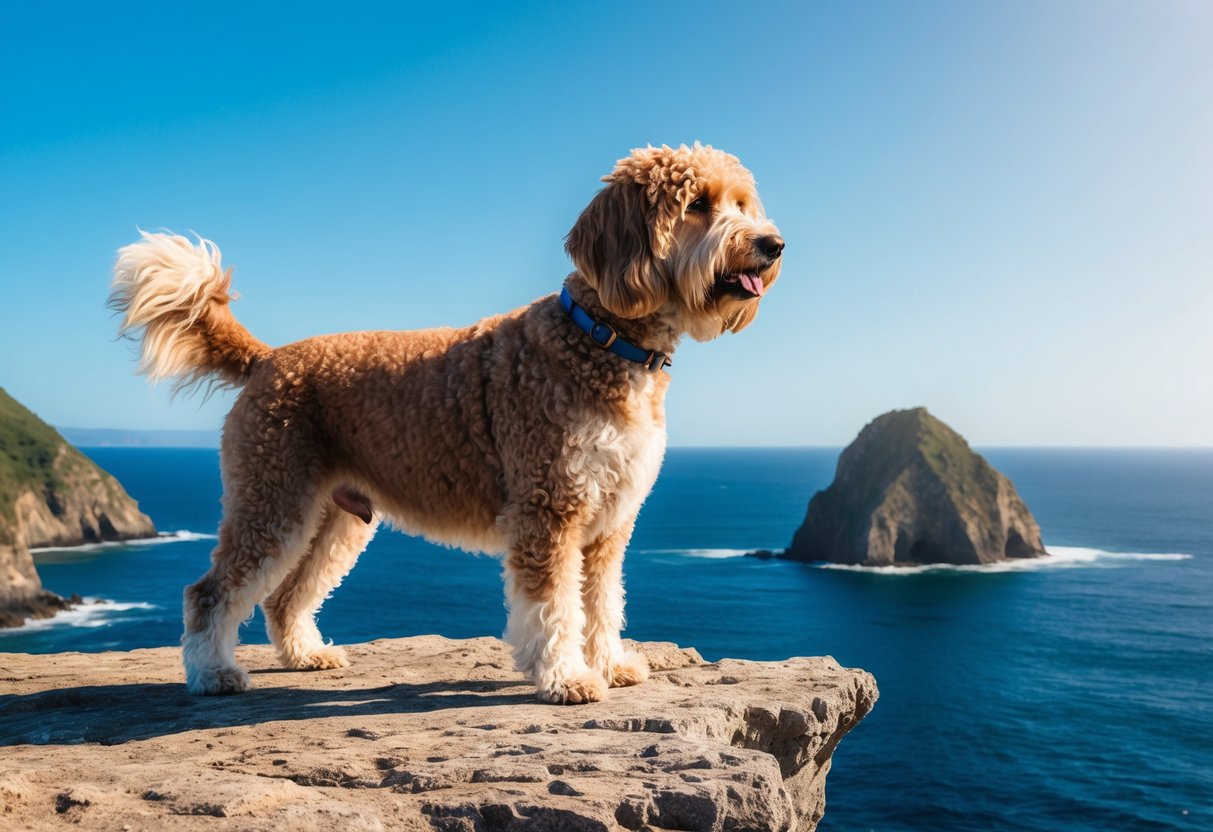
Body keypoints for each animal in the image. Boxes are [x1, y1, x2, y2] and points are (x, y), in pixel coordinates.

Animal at [109, 143, 781, 703]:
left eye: (742, 204)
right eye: (698, 204)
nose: (772, 244)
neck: (601, 338)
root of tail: (267, 358)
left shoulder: (609, 524)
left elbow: (601, 602)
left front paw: (610, 663)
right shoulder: (549, 509)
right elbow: (554, 607)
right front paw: (565, 678)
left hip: (333, 518)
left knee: (285, 594)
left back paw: (304, 655)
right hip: (272, 499)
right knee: (210, 592)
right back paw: (212, 673)